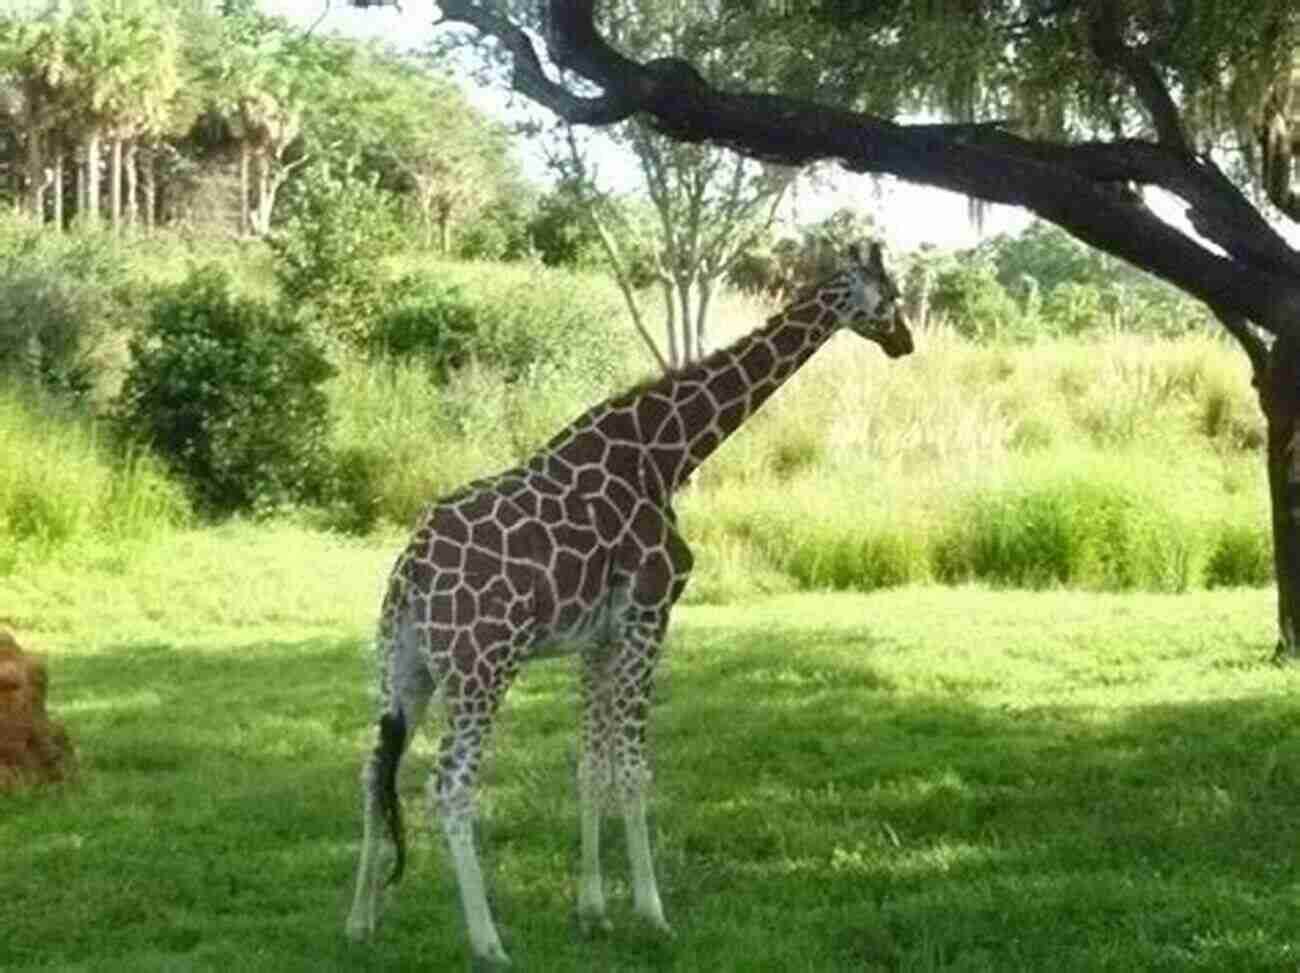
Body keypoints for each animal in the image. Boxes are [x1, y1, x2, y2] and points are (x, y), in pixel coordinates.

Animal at [348, 239, 915, 962]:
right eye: (891, 294)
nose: (904, 342)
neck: (667, 453)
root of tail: (412, 570)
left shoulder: (598, 636)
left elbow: (590, 765)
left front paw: (593, 909)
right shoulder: (650, 613)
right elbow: (633, 768)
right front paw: (651, 910)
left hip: (403, 668)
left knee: (375, 769)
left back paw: (360, 921)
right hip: (482, 667)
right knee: (449, 786)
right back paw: (488, 942)